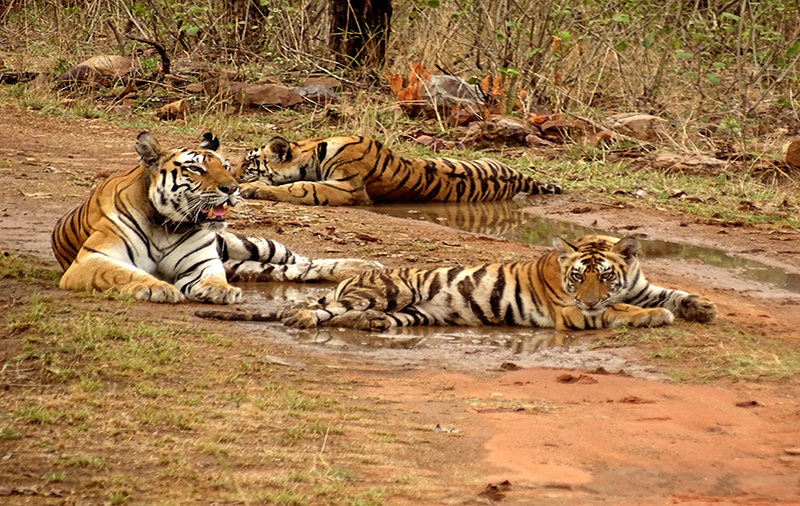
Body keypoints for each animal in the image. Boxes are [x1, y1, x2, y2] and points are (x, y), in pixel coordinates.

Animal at [51, 131, 382, 304]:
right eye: (195, 168)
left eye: (224, 166)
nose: (233, 188)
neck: (165, 226)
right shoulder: (91, 260)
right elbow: (124, 273)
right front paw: (158, 287)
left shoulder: (202, 262)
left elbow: (211, 276)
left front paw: (218, 290)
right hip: (250, 265)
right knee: (294, 271)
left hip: (253, 245)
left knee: (304, 261)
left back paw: (366, 266)